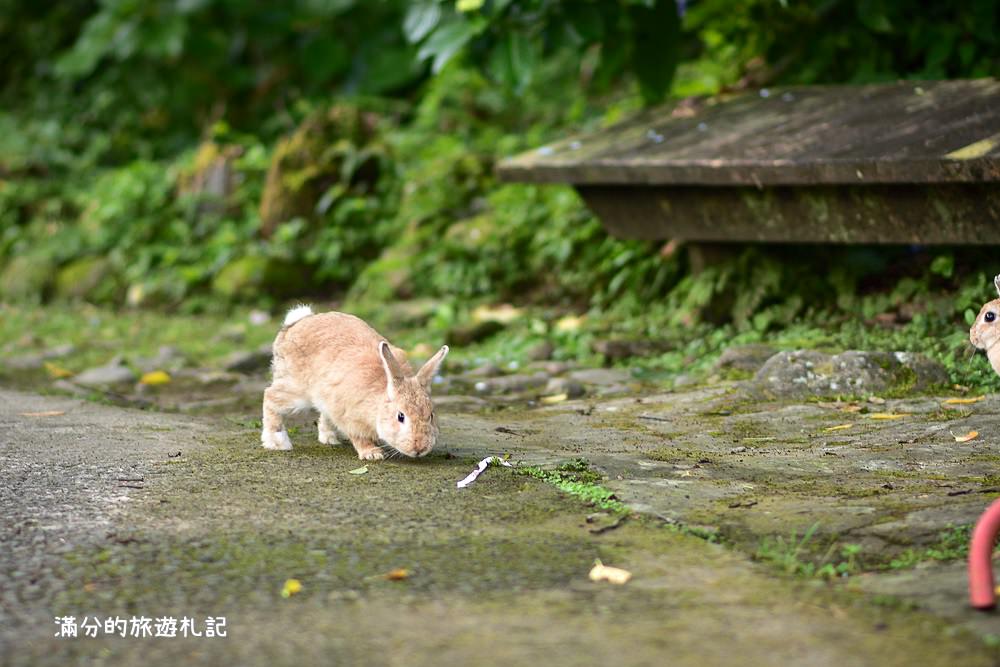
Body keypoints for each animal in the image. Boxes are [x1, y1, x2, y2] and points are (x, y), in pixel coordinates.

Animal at [260, 302, 448, 460]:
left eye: (431, 415)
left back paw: (329, 439)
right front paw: (372, 454)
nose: (420, 448)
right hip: (297, 390)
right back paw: (277, 442)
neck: (378, 403)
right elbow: (359, 437)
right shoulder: (348, 416)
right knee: (270, 397)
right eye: (400, 416)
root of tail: (294, 324)